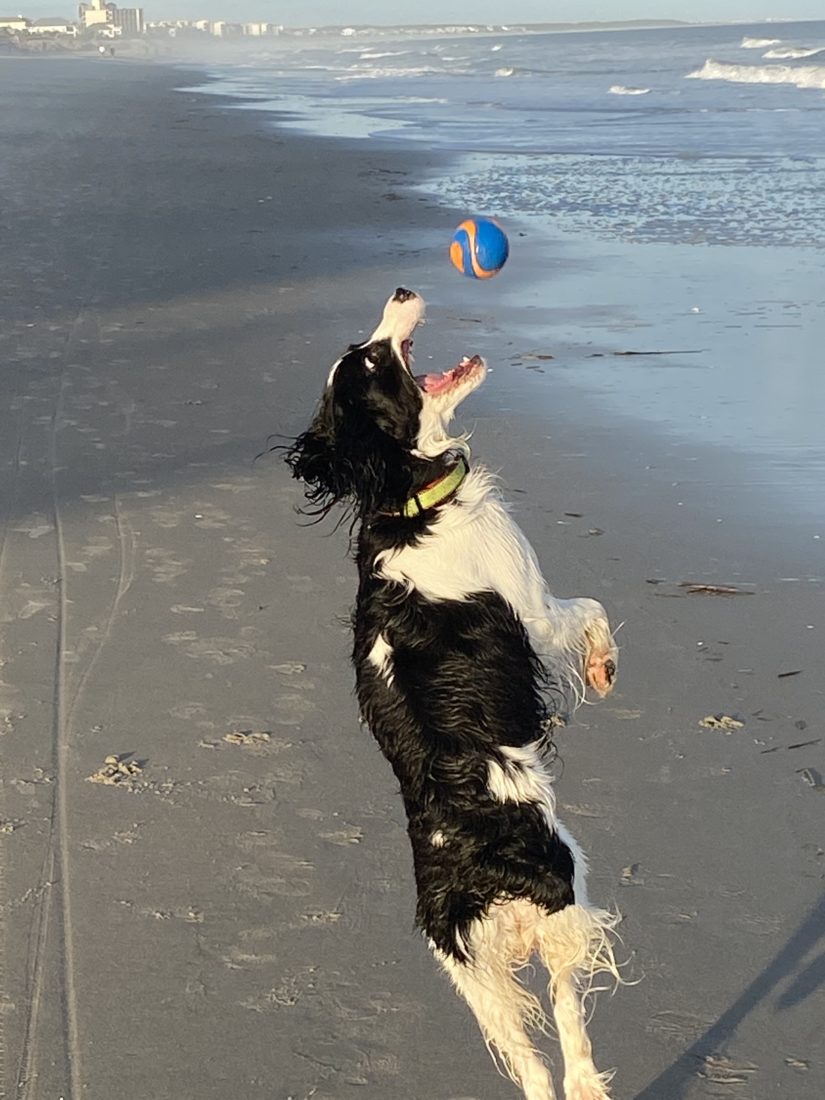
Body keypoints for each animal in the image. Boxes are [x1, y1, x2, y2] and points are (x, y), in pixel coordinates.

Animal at [283, 288, 620, 1095]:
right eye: (375, 360)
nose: (401, 293)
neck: (409, 501)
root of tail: (475, 876)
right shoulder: (532, 607)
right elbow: (588, 610)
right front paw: (603, 667)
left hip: (472, 975)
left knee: (532, 1071)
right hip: (565, 901)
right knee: (568, 1029)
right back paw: (590, 1081)